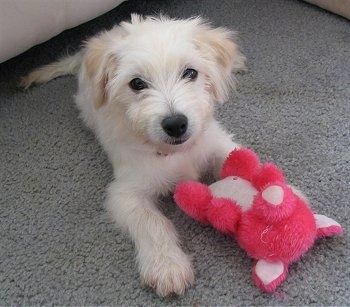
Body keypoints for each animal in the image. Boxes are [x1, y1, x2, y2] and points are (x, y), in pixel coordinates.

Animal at [21, 15, 246, 298]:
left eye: (190, 72)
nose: (175, 124)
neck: (173, 154)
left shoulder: (218, 144)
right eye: (137, 83)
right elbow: (153, 222)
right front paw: (167, 266)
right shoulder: (125, 194)